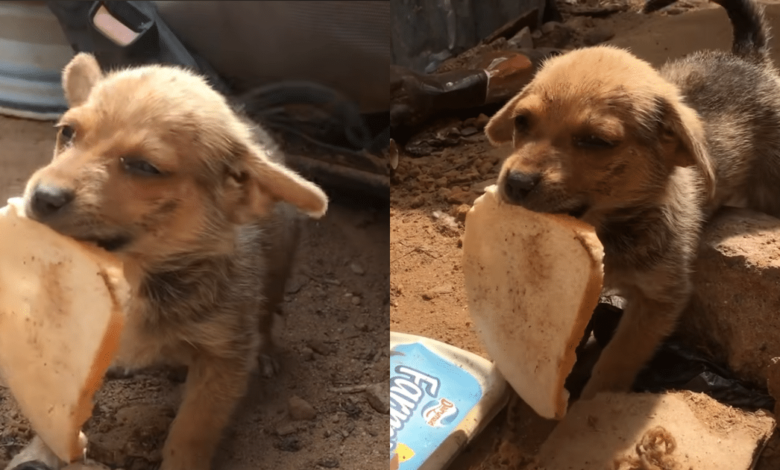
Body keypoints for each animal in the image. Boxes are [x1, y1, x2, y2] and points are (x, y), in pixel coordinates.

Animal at [12, 53, 330, 470]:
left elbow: (190, 433)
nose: (42, 196)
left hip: (278, 268)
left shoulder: (223, 359)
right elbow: (56, 402)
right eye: (67, 133)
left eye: (144, 167)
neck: (136, 275)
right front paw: (42, 451)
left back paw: (266, 352)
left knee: (267, 312)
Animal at [484, 0, 780, 400]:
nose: (515, 182)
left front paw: (592, 400)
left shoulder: (659, 300)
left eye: (596, 141)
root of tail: (748, 60)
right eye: (521, 121)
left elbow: (617, 359)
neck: (610, 228)